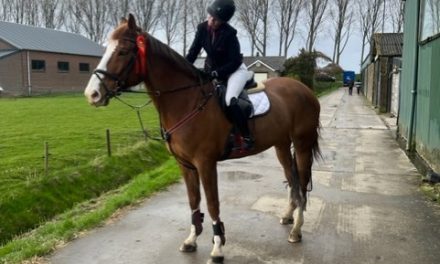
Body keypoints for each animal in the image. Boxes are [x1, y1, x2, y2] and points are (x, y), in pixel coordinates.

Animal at [84, 14, 322, 264]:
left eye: (122, 51)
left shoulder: (205, 163)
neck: (187, 101)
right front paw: (191, 239)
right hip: (281, 145)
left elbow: (212, 203)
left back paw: (297, 229)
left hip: (302, 144)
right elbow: (193, 201)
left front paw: (217, 247)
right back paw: (288, 216)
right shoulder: (185, 165)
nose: (92, 94)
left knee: (302, 182)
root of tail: (304, 89)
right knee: (292, 179)